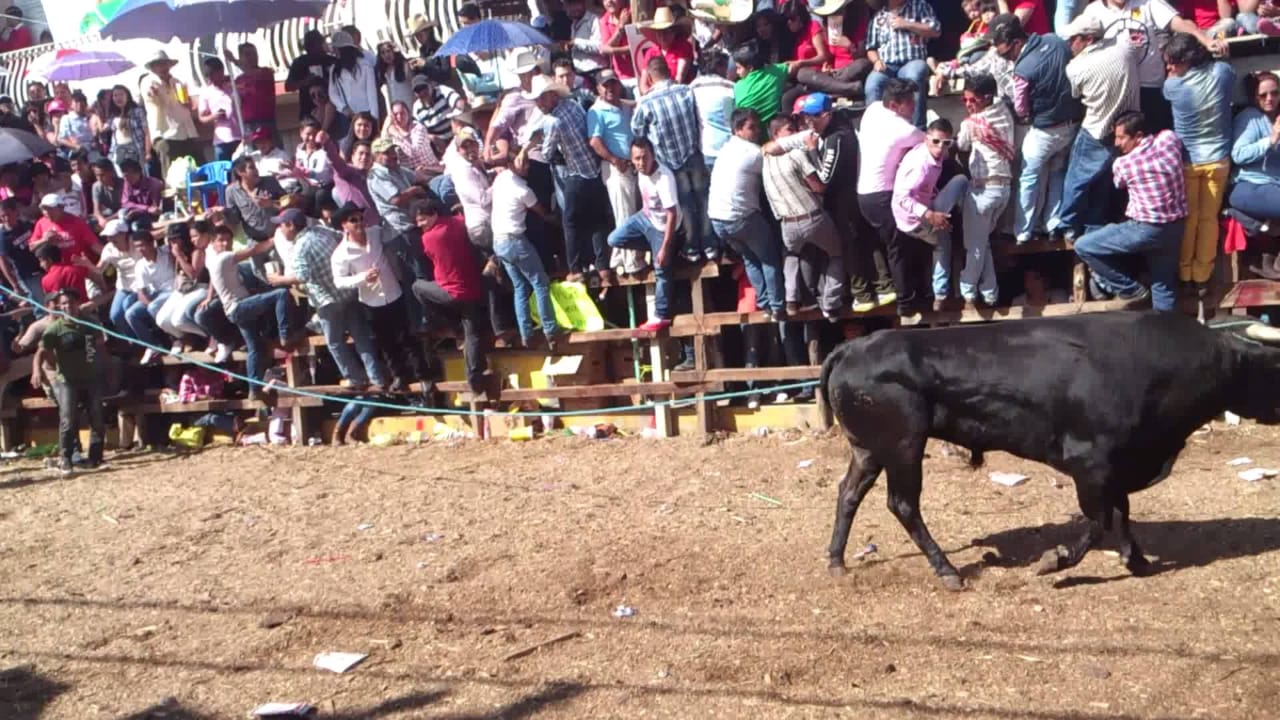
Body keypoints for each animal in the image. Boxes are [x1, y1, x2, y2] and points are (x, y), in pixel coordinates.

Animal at [819, 310, 1280, 589]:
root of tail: (853, 346)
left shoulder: (1116, 465)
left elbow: (1121, 512)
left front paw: (1136, 560)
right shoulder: (1089, 462)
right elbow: (1099, 519)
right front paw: (1056, 560)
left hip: (869, 450)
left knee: (849, 493)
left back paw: (837, 561)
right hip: (904, 446)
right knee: (903, 504)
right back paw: (947, 571)